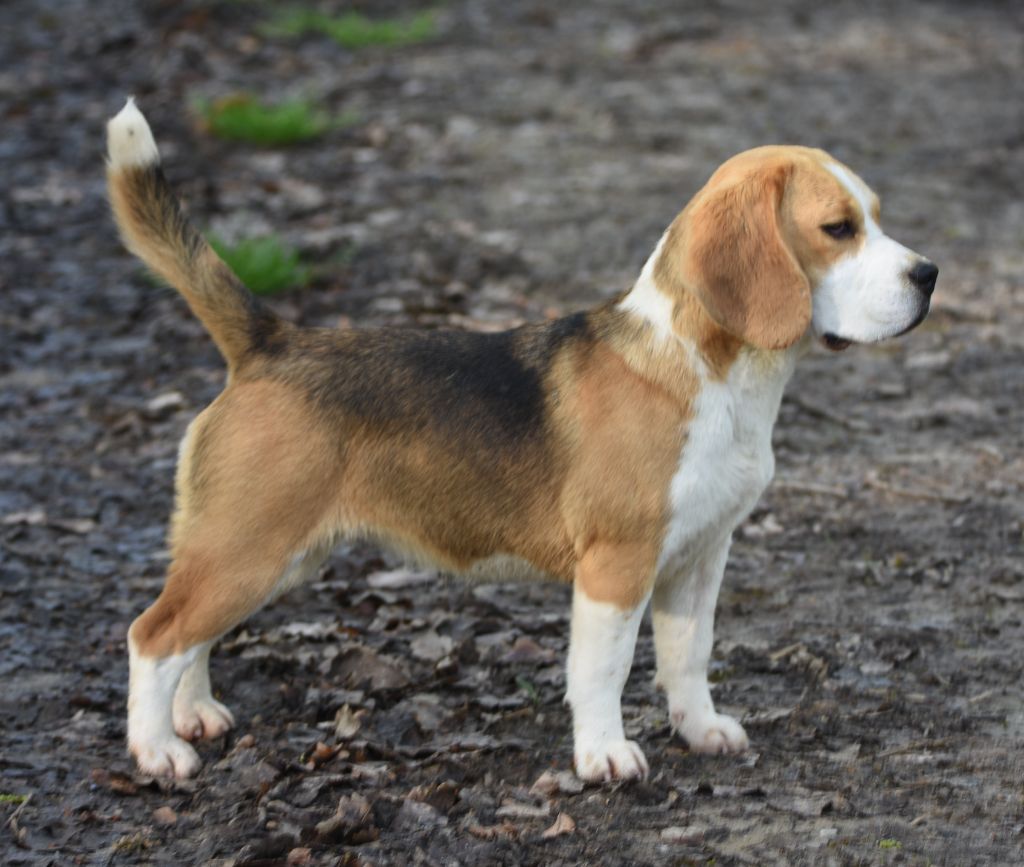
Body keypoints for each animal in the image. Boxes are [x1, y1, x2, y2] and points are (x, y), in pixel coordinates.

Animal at [103, 99, 937, 777]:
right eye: (838, 229)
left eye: (877, 217)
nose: (929, 273)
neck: (710, 369)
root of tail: (269, 341)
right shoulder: (616, 564)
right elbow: (603, 670)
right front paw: (604, 755)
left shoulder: (700, 555)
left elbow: (688, 654)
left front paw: (700, 731)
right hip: (250, 547)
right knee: (153, 634)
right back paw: (157, 749)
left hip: (263, 553)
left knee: (193, 635)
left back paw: (193, 713)